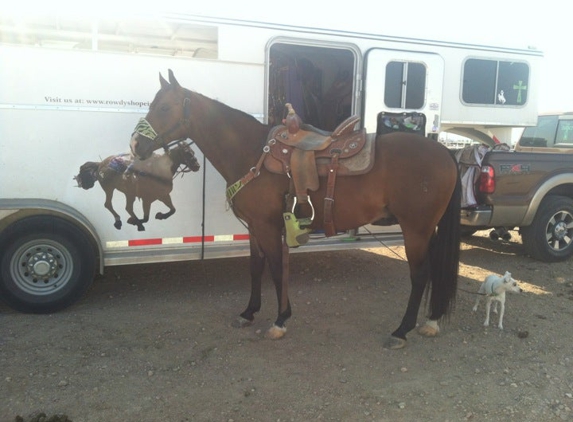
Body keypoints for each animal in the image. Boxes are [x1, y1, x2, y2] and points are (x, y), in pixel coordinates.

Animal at [130, 70, 460, 350]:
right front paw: (249, 312)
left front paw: (280, 320)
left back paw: (401, 331)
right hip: (427, 230)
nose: (136, 145)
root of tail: (445, 152)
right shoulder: (254, 227)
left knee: (420, 274)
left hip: (416, 229)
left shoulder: (267, 226)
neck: (251, 153)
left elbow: (277, 269)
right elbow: (255, 268)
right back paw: (431, 321)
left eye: (164, 108)